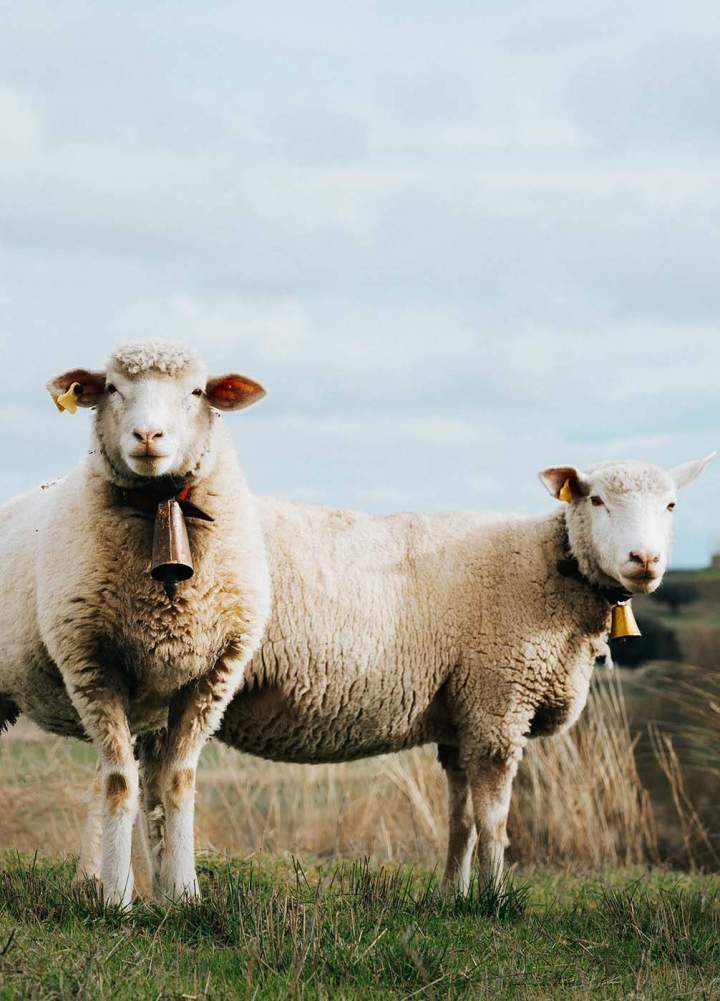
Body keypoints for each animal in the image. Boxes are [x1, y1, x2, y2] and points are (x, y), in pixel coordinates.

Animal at [0, 341, 271, 906]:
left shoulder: (212, 676)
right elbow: (119, 783)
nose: (148, 436)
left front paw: (183, 894)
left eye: (197, 390)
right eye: (112, 388)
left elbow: (176, 783)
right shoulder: (91, 663)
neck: (161, 505)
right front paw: (117, 900)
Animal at [207, 454, 712, 891]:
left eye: (671, 505)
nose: (644, 560)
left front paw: (455, 895)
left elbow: (461, 820)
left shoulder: (461, 718)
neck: (549, 570)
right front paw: (495, 898)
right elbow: (494, 823)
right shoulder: (498, 707)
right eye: (596, 500)